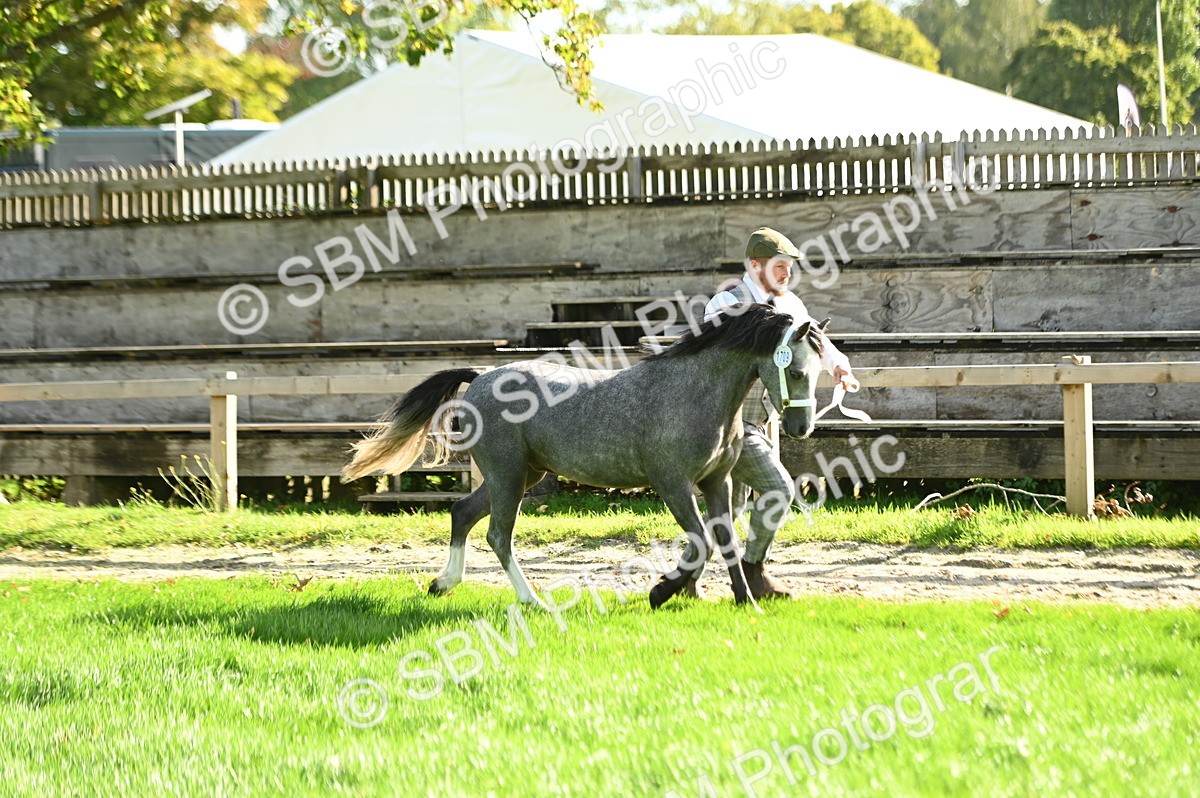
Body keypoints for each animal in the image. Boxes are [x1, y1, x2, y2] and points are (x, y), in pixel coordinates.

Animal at [342, 303, 827, 609]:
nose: (801, 429)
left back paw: (443, 584)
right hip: (508, 476)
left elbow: (725, 541)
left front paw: (746, 603)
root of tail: (480, 377)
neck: (694, 393)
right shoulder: (673, 484)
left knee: (462, 513)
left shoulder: (716, 482)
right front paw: (660, 592)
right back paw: (532, 601)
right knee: (498, 535)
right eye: (799, 370)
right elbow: (703, 542)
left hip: (520, 476)